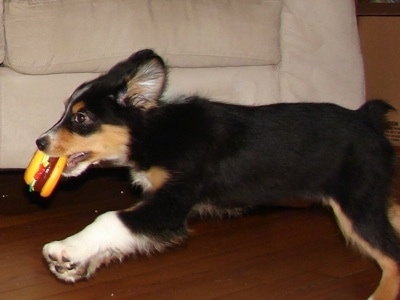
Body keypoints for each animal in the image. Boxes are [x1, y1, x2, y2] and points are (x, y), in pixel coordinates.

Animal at [36, 49, 396, 300]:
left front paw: (67, 249)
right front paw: (78, 264)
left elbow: (110, 219)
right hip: (371, 197)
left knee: (393, 256)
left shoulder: (172, 204)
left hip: (356, 204)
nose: (40, 141)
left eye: (81, 119)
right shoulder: (158, 202)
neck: (157, 134)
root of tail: (367, 119)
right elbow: (122, 236)